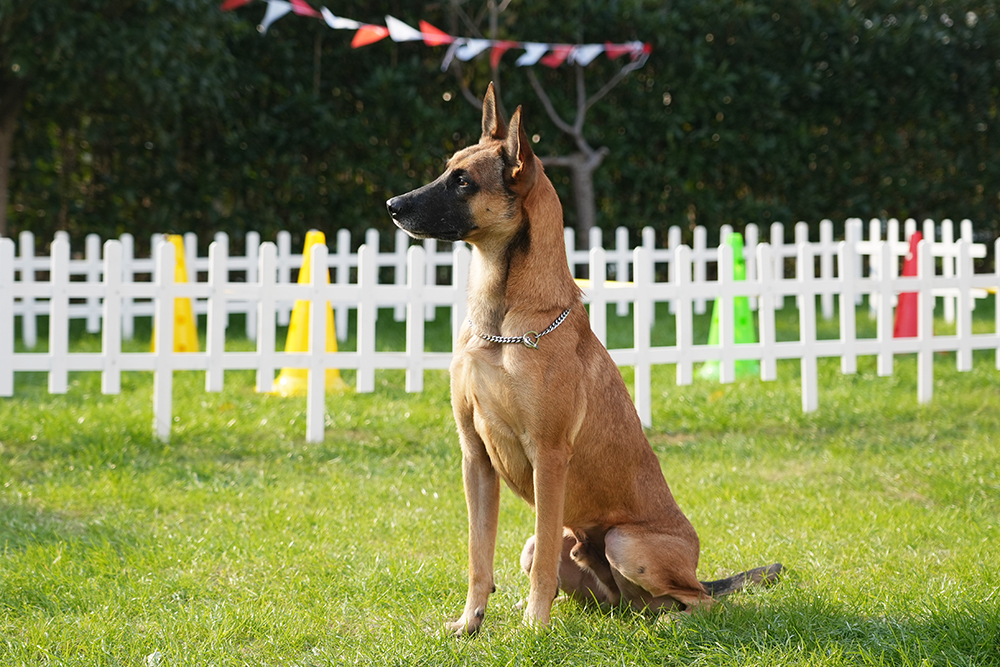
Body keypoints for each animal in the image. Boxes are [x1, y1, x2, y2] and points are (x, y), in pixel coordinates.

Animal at [384, 85, 780, 636]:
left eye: (462, 182)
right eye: (447, 169)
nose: (392, 205)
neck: (502, 320)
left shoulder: (549, 458)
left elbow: (543, 563)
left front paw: (534, 630)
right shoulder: (475, 459)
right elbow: (478, 556)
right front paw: (469, 624)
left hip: (625, 541)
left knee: (699, 601)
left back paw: (669, 624)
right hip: (561, 553)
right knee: (631, 598)